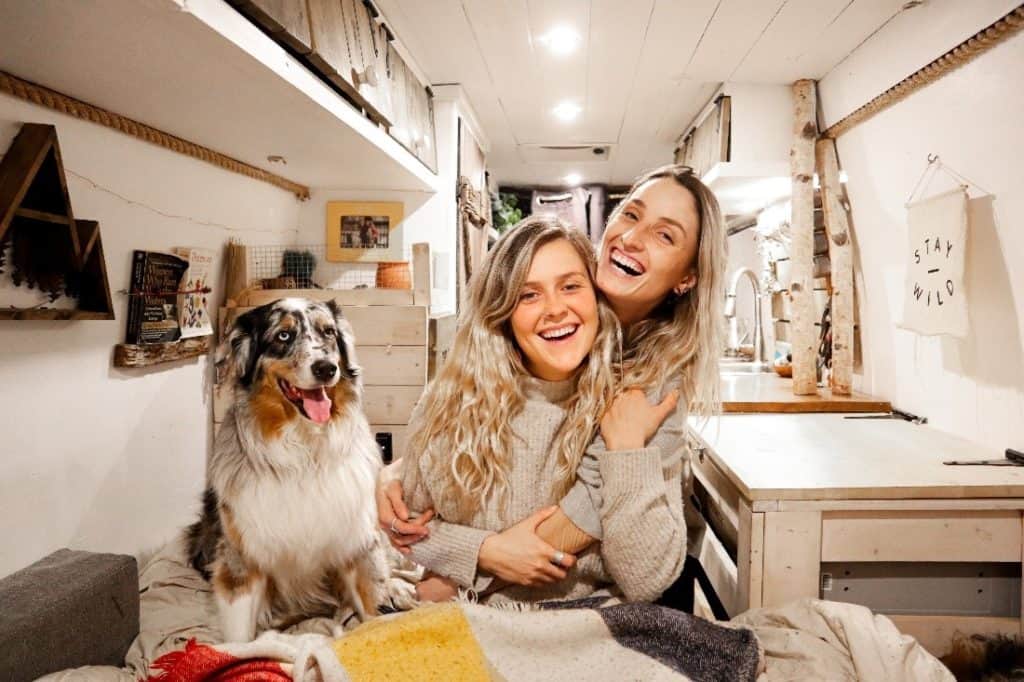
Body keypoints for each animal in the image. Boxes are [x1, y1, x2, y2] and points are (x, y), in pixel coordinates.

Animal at [186, 299, 385, 643]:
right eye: (283, 335)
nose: (326, 368)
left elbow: (372, 612)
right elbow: (240, 640)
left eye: (328, 332)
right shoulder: (242, 562)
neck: (304, 453)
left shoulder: (355, 546)